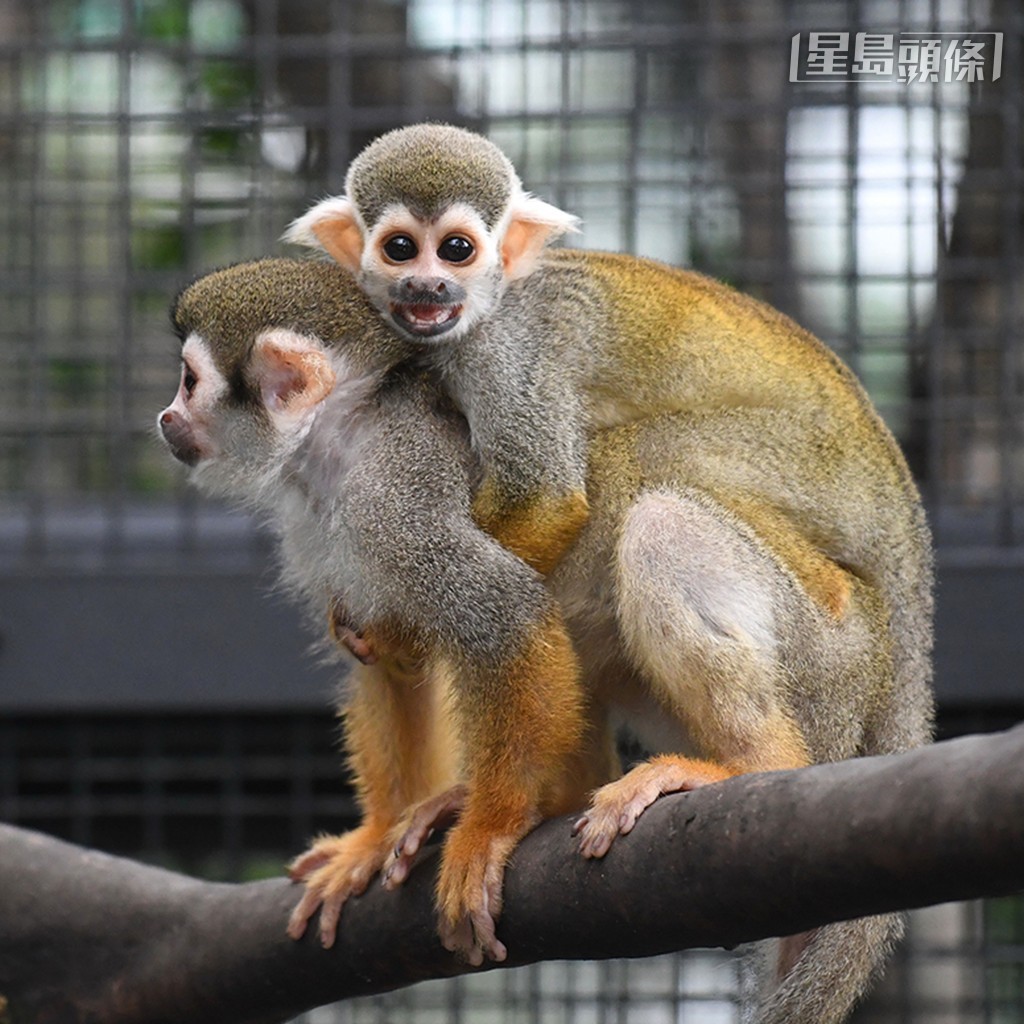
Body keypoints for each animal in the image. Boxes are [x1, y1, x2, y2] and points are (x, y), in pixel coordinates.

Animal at [155, 258, 933, 1024]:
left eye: (189, 381)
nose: (166, 418)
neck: (334, 442)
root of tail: (883, 636)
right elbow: (391, 665)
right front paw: (372, 841)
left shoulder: (397, 496)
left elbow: (504, 613)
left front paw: (489, 832)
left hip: (824, 660)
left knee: (659, 525)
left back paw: (746, 765)